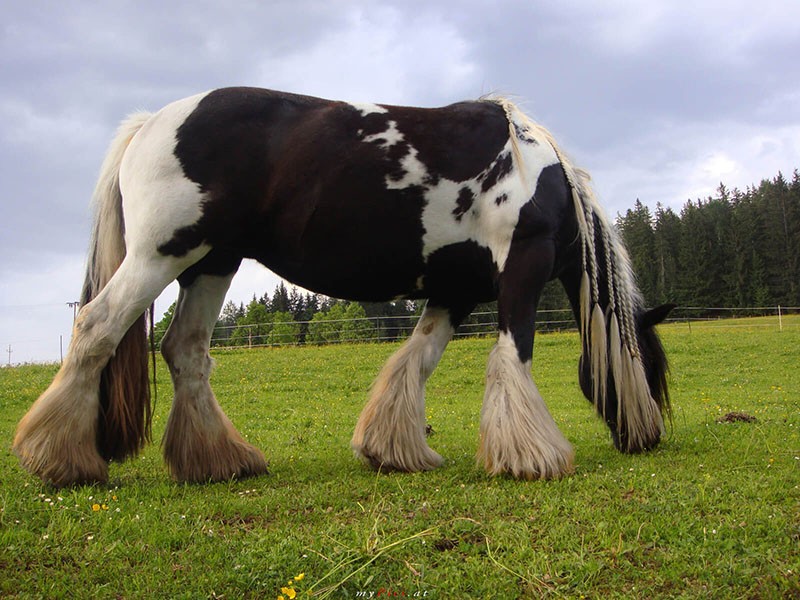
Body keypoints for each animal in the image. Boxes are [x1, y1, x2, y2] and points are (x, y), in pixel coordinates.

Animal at [15, 85, 672, 488]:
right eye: (654, 366)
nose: (651, 437)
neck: (536, 170)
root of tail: (149, 124)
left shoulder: (455, 292)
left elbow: (415, 360)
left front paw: (393, 450)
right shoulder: (521, 270)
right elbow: (512, 355)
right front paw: (532, 457)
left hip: (212, 263)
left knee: (186, 351)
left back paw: (220, 462)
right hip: (163, 254)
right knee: (97, 326)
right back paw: (60, 460)